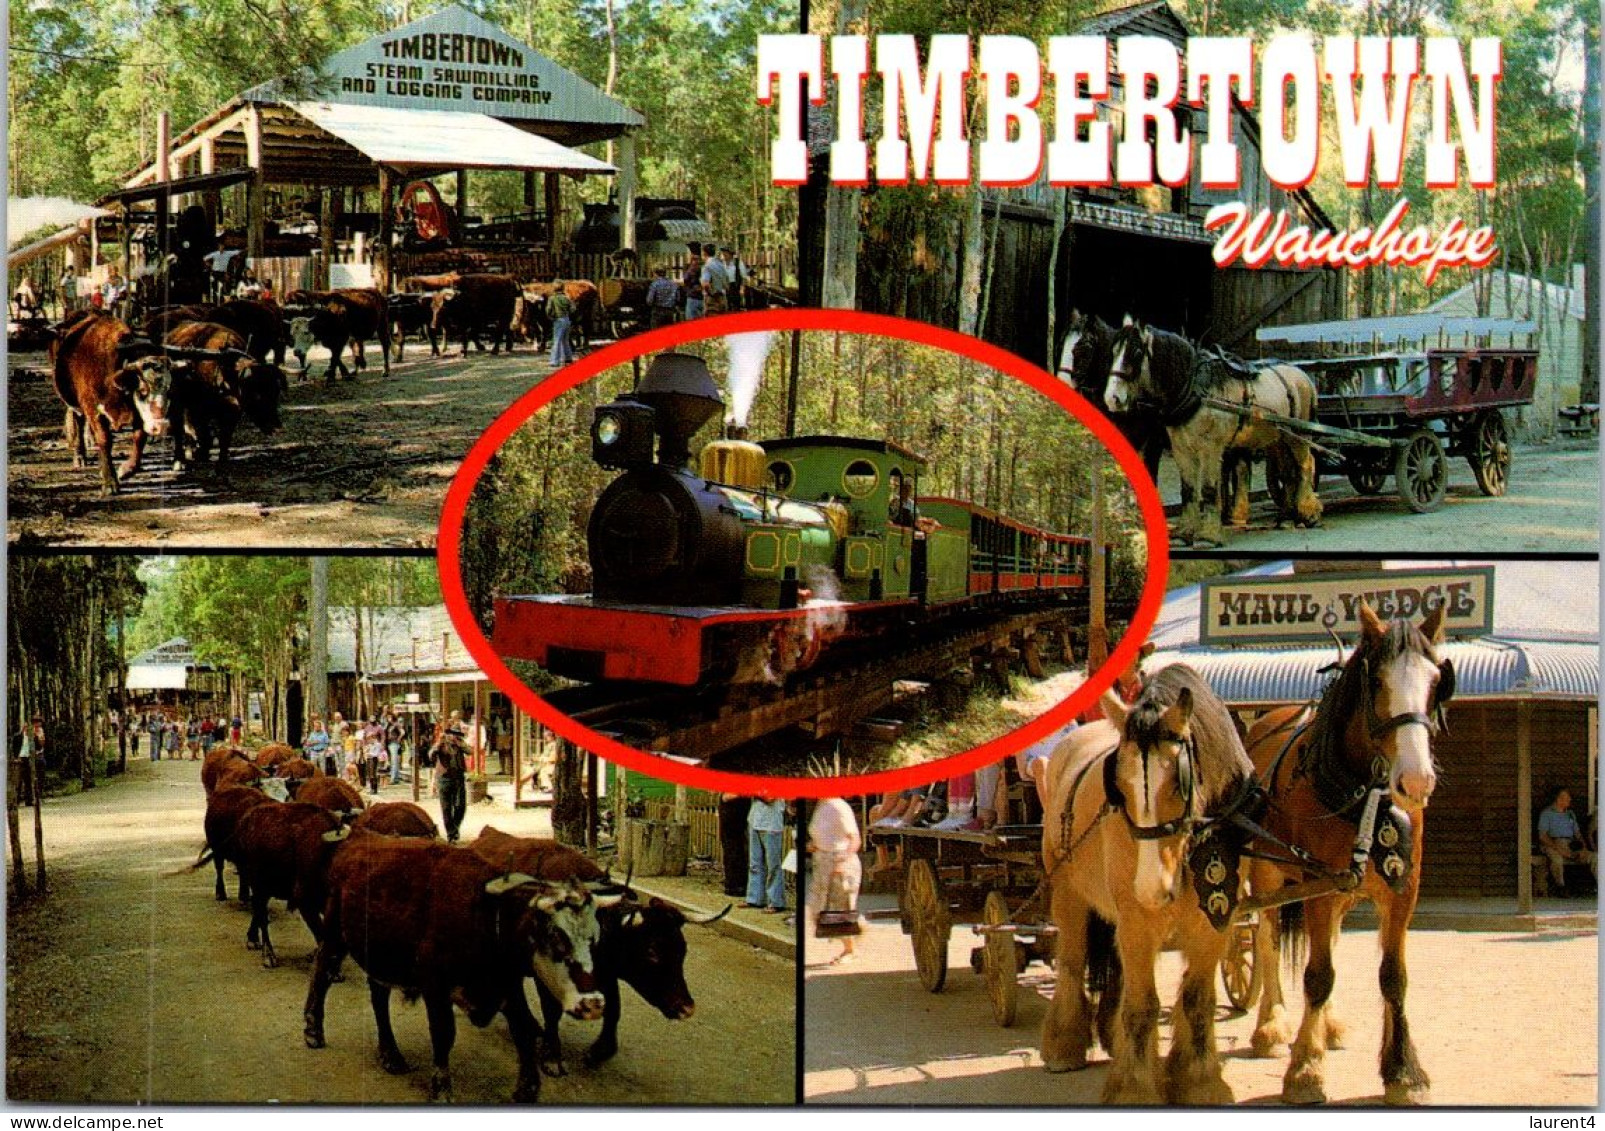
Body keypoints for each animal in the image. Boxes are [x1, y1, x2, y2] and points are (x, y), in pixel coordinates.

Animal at [1033, 660, 1258, 1103]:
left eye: (1178, 783)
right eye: (1118, 786)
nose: (1152, 889)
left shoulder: (1214, 922)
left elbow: (1196, 999)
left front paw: (1199, 1081)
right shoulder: (1137, 921)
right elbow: (1142, 1006)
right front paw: (1134, 1088)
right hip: (1069, 892)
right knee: (1072, 959)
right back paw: (1064, 1044)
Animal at [1097, 317, 1322, 545]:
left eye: (1135, 352)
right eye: (1114, 352)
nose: (1112, 398)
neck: (1195, 388)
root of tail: (1303, 375)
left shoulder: (1211, 448)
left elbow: (1209, 488)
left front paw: (1209, 535)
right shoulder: (1181, 449)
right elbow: (1188, 489)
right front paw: (1185, 531)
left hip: (1299, 436)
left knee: (1305, 465)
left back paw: (1308, 513)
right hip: (1278, 438)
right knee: (1287, 472)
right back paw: (1286, 517)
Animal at [1239, 599, 1457, 1103]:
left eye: (1436, 681)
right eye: (1375, 682)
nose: (1415, 781)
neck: (1365, 798)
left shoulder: (1401, 891)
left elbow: (1392, 976)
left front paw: (1403, 1072)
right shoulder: (1315, 887)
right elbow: (1317, 975)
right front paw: (1305, 1070)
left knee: (1330, 941)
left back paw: (1328, 1027)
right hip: (1268, 874)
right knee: (1267, 938)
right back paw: (1271, 1027)